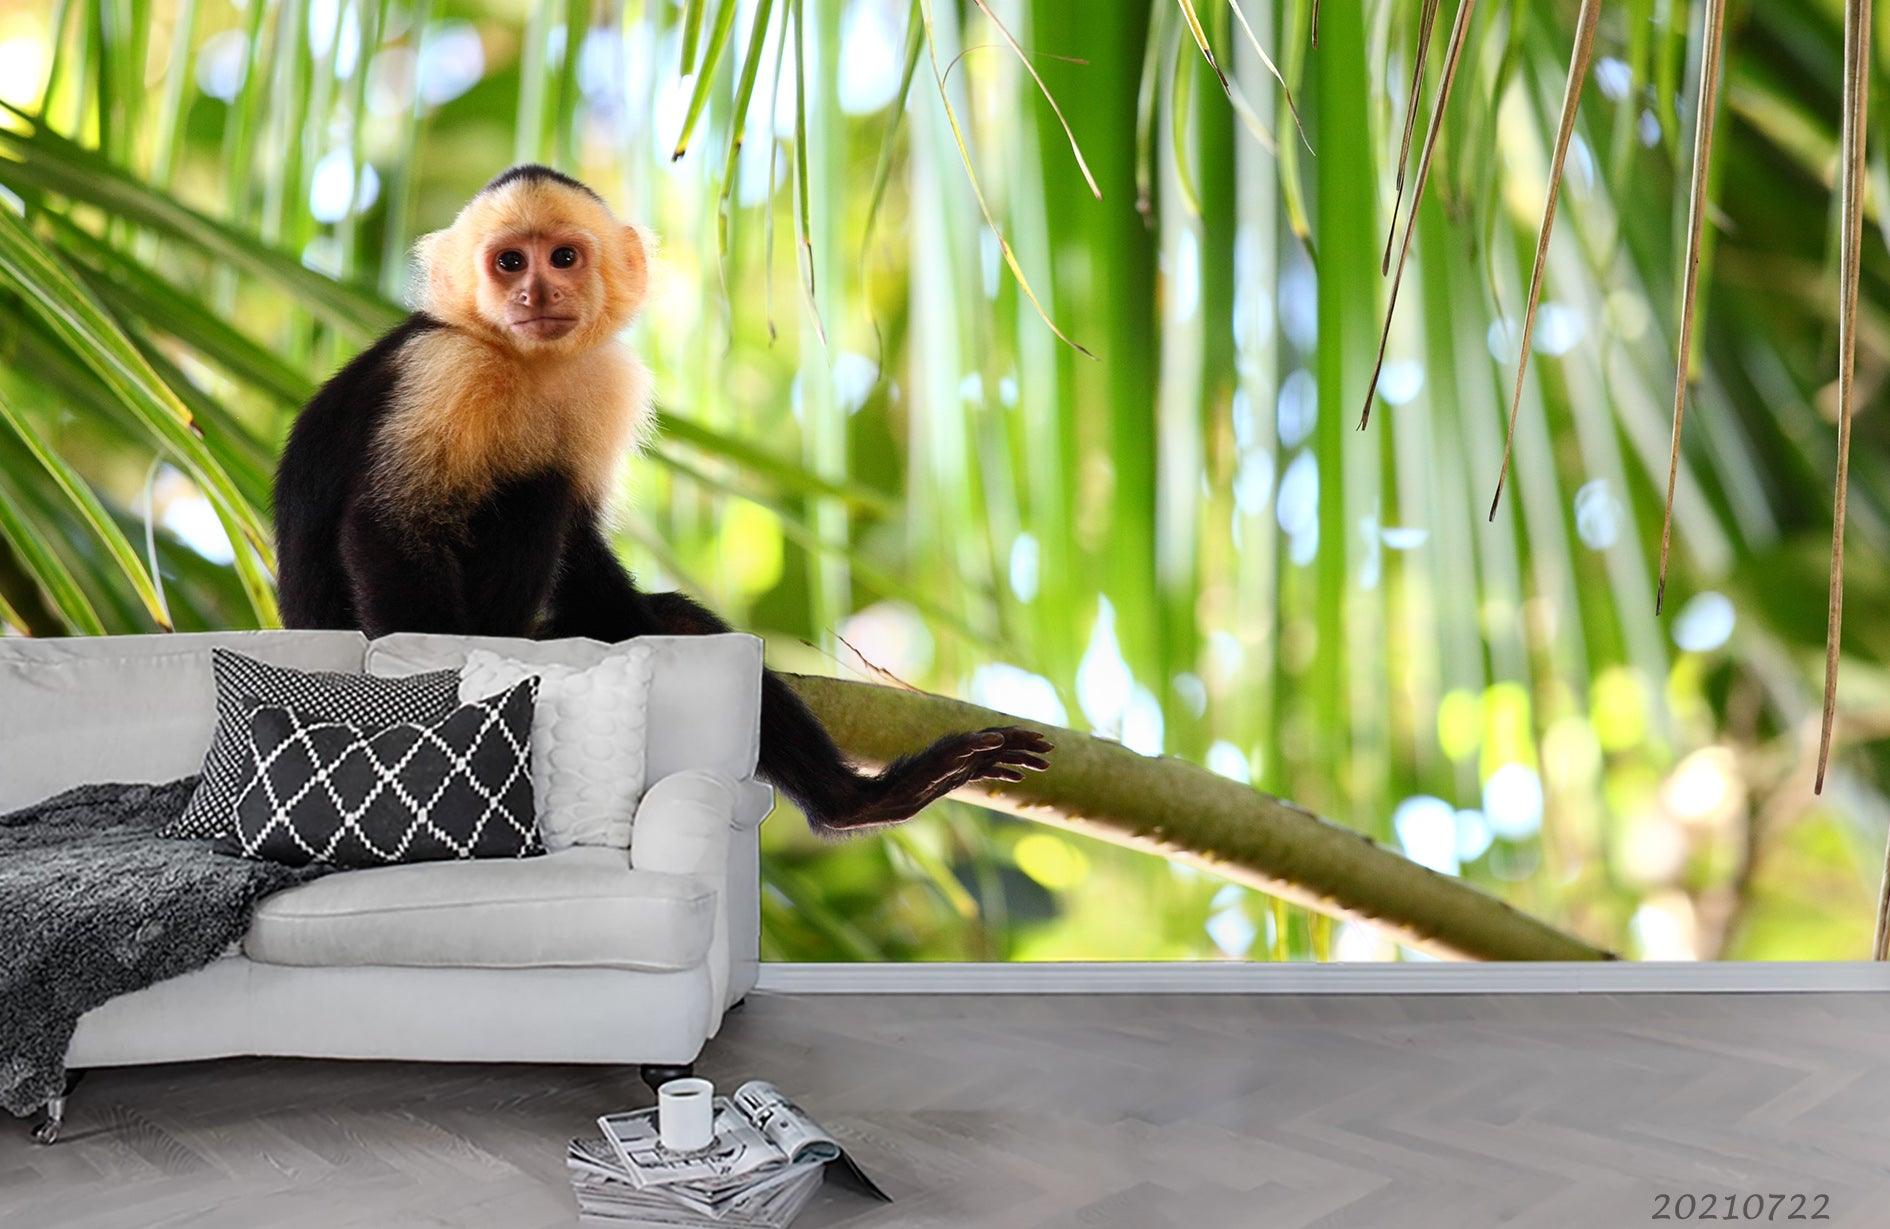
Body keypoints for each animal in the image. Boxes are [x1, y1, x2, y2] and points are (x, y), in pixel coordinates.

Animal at [274, 165, 1052, 833]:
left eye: (561, 258)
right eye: (508, 263)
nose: (534, 295)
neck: (527, 364)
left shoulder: (603, 382)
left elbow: (586, 549)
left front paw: (650, 626)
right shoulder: (446, 367)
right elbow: (390, 526)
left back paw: (856, 802)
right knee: (531, 486)